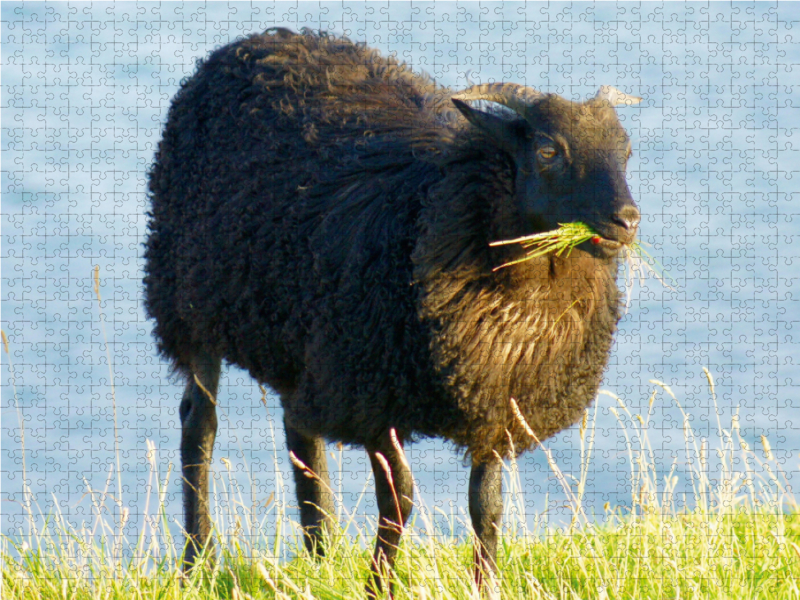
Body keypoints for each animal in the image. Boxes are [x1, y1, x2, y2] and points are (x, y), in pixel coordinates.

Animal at [144, 27, 640, 596]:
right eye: (548, 150)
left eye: (626, 151)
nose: (627, 220)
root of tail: (258, 41)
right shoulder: (376, 397)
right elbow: (399, 500)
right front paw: (378, 583)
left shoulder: (496, 404)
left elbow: (486, 507)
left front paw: (483, 584)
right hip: (190, 303)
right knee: (199, 425)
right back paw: (198, 559)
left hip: (306, 340)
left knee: (300, 431)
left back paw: (320, 553)